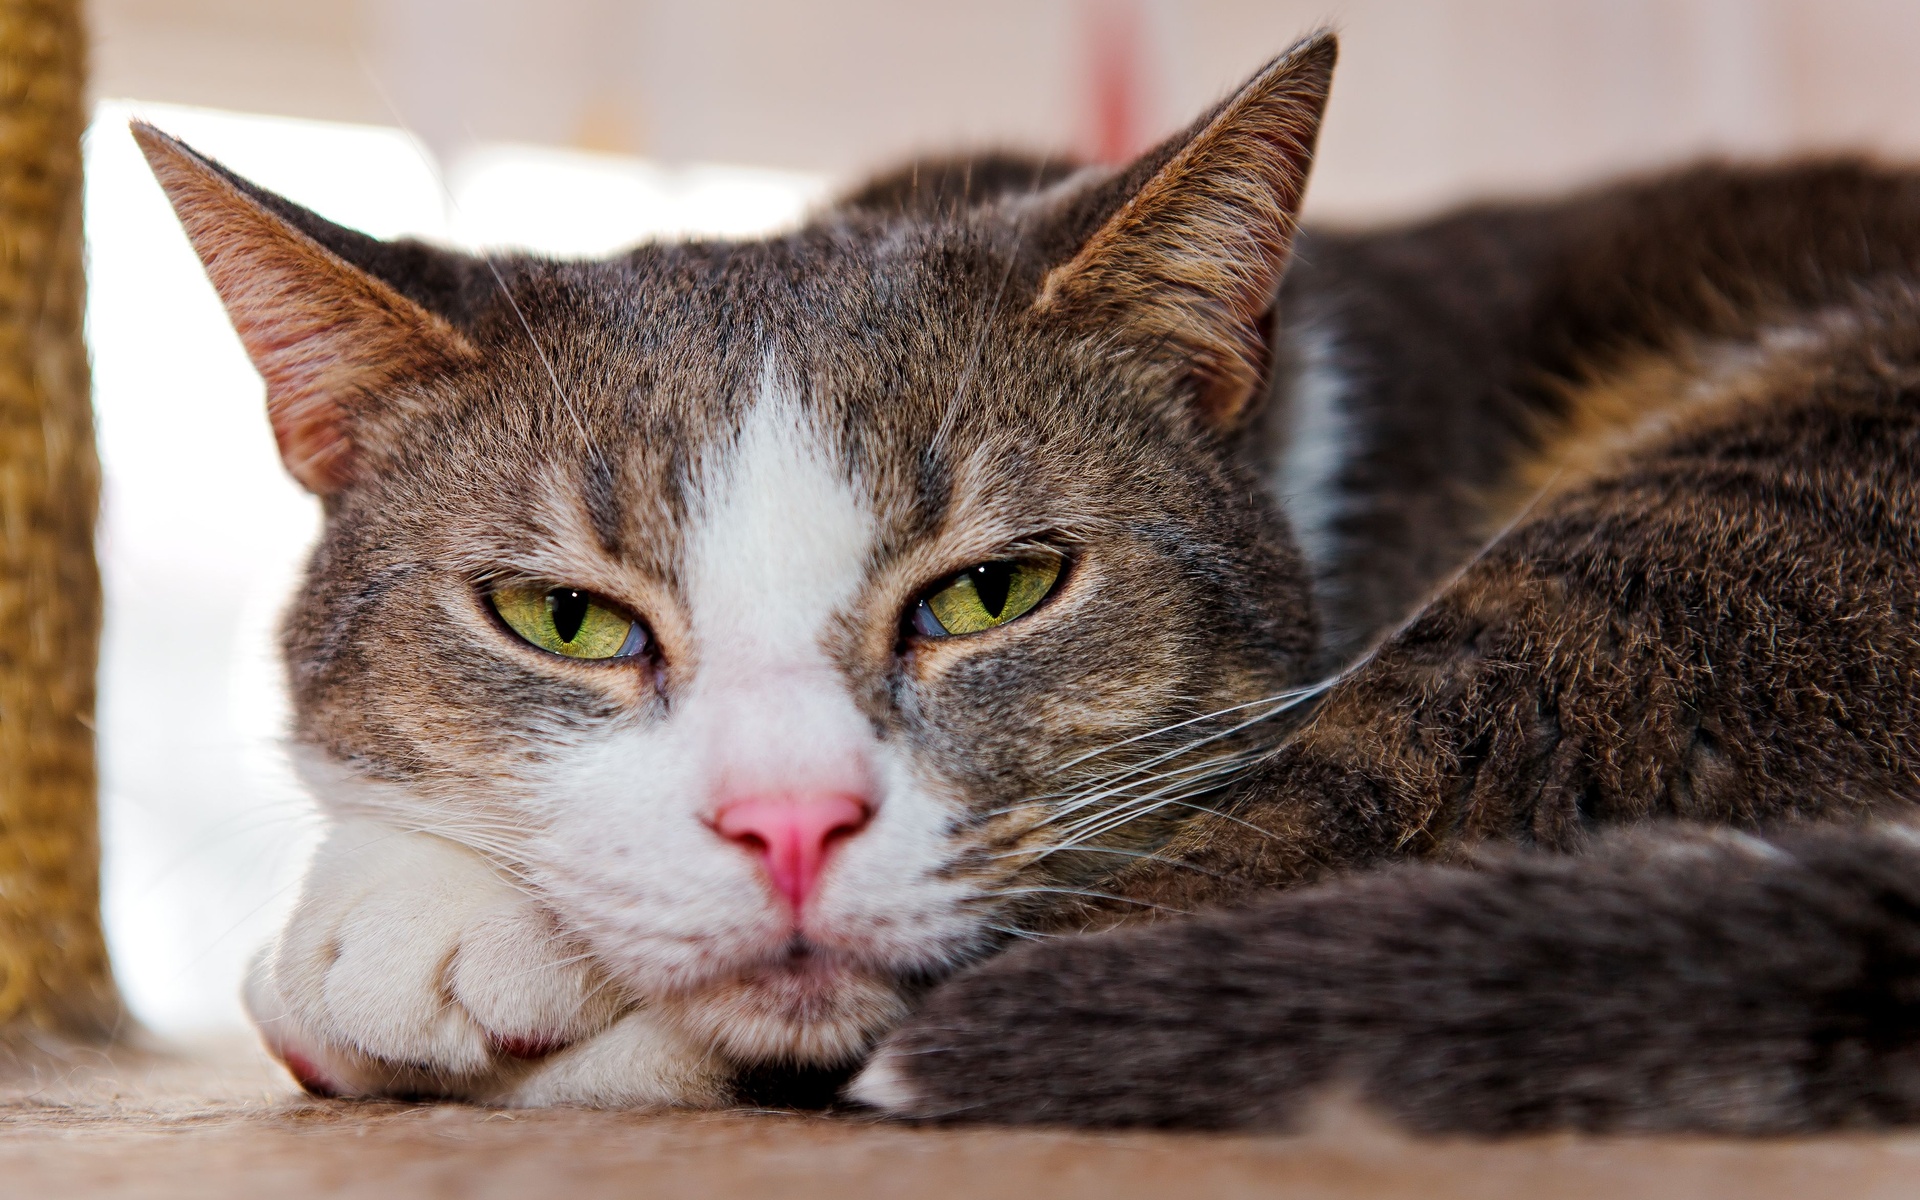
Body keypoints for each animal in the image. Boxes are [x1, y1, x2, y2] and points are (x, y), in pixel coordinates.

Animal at [135, 28, 1920, 1128]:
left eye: (994, 593)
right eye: (563, 619)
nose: (792, 822)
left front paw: (406, 942)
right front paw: (406, 908)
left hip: (1695, 547)